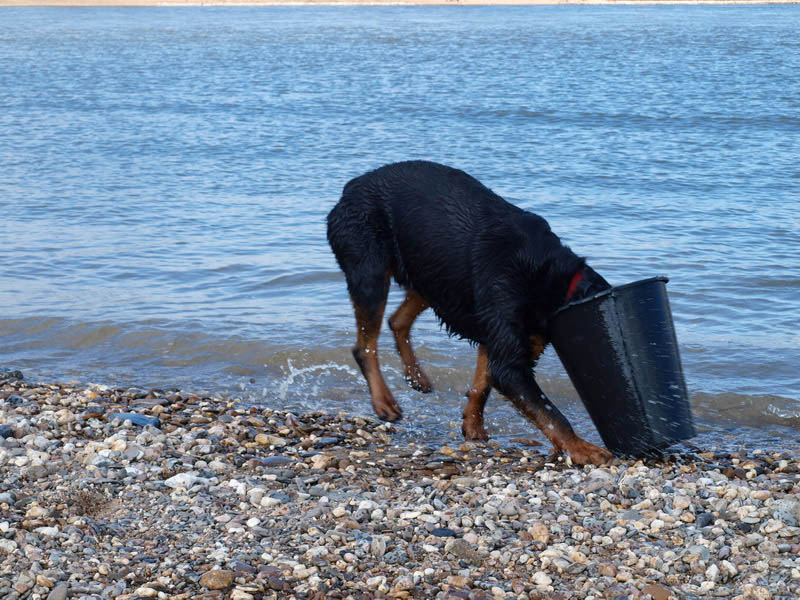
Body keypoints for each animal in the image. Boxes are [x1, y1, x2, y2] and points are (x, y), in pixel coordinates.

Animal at [324, 159, 612, 464]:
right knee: (365, 345)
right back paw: (383, 401)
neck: (551, 279)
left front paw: (472, 425)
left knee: (396, 321)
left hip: (432, 276)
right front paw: (582, 448)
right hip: (370, 270)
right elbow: (549, 410)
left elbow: (483, 384)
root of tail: (351, 187)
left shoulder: (504, 336)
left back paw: (416, 376)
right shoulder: (508, 348)